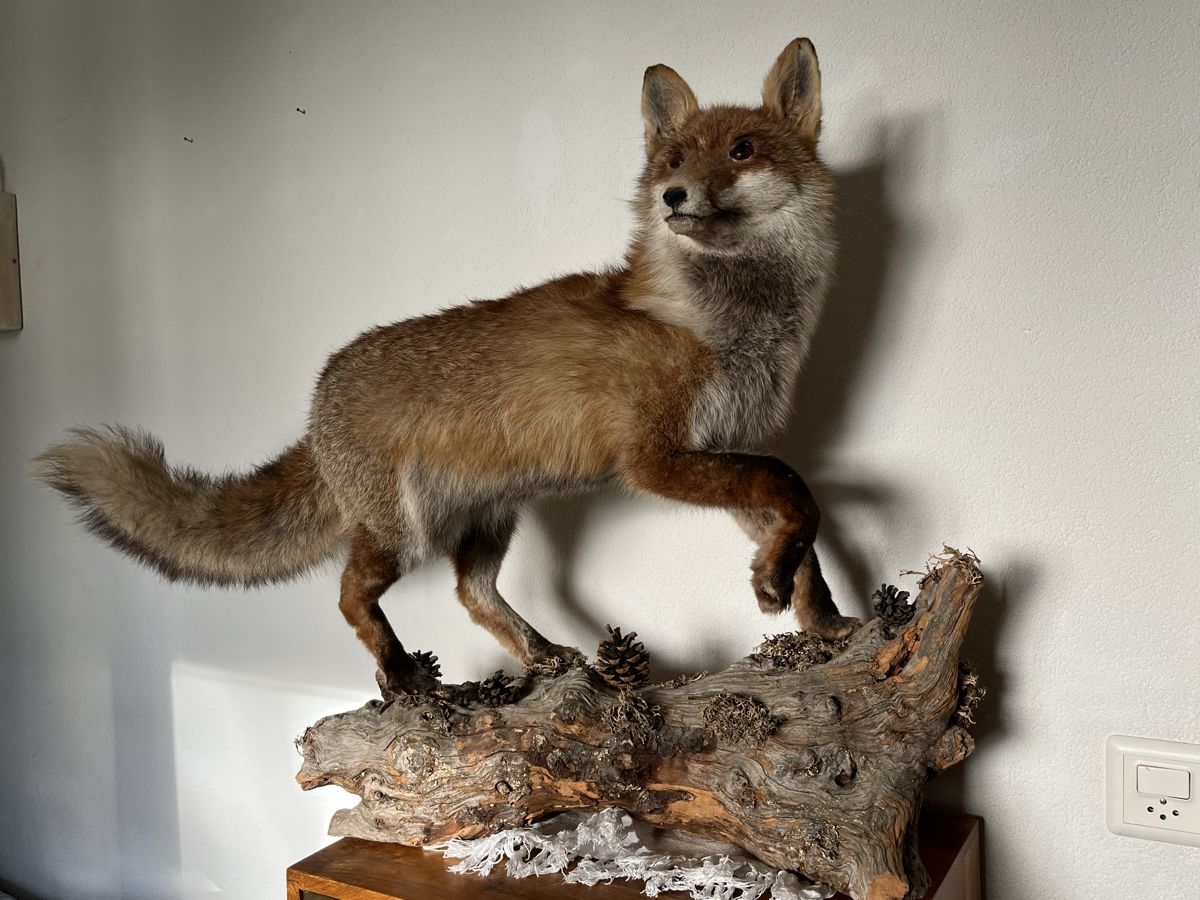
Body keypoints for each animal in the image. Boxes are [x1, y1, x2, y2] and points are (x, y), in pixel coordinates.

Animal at [35, 38, 856, 698]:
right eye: (675, 160)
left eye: (743, 150)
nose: (671, 197)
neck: (724, 325)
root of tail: (317, 398)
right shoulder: (654, 459)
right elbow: (793, 484)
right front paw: (784, 587)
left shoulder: (718, 447)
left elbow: (801, 523)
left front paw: (821, 619)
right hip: (402, 533)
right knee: (349, 595)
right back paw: (401, 673)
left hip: (488, 517)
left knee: (472, 594)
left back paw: (541, 653)